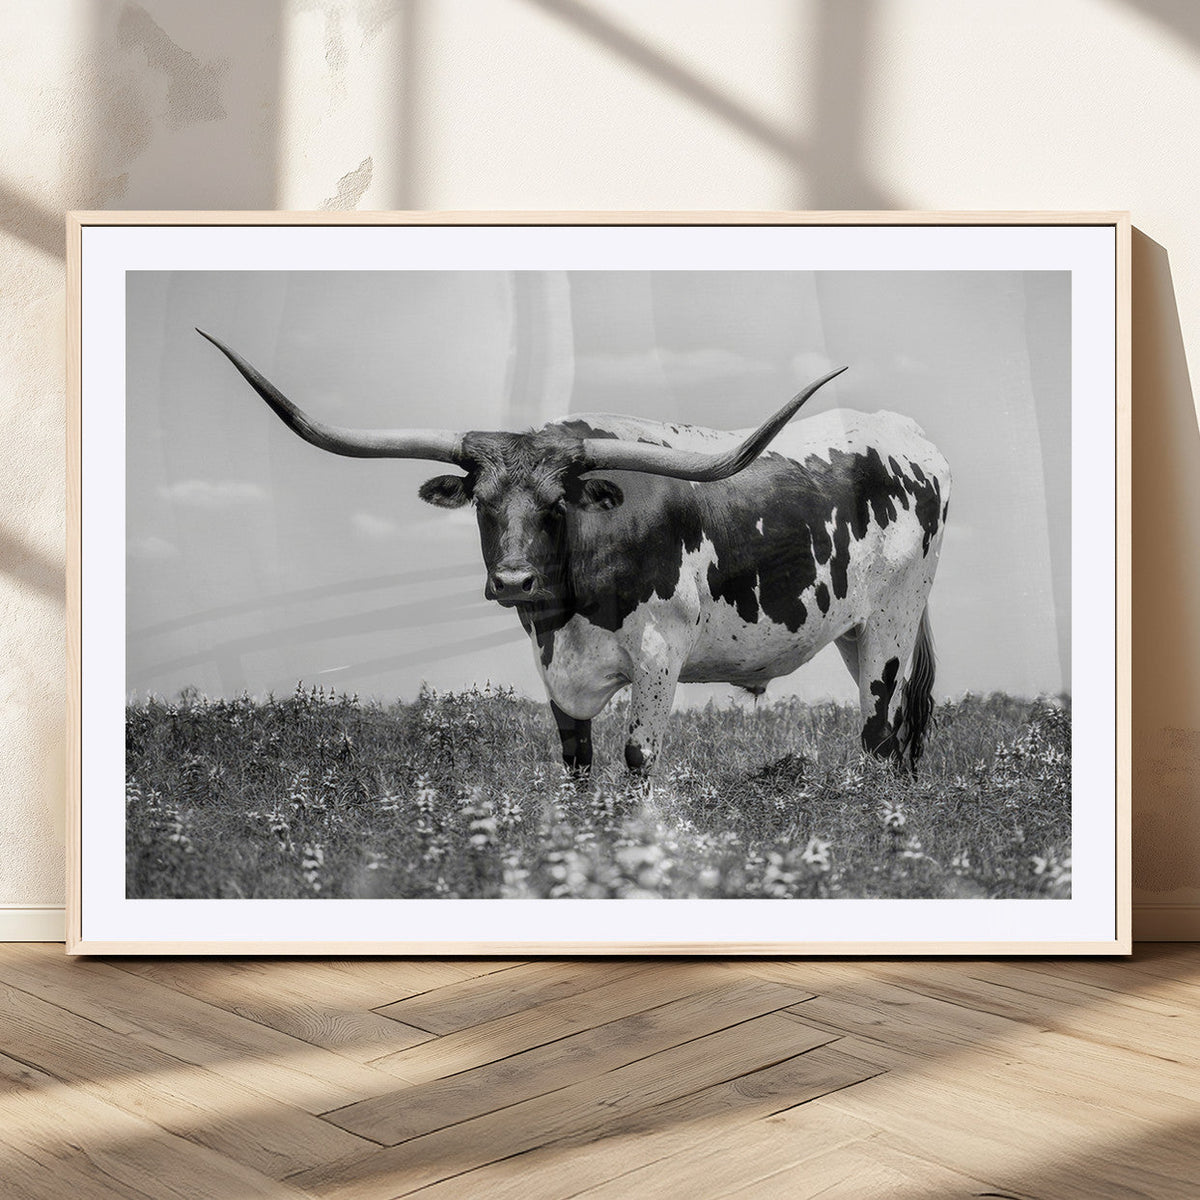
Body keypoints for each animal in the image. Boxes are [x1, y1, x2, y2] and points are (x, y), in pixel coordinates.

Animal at [198, 329, 950, 776]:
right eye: (482, 503)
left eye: (556, 505)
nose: (512, 580)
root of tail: (910, 437)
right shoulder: (554, 667)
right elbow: (577, 764)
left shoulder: (659, 657)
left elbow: (638, 760)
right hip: (853, 631)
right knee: (891, 738)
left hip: (891, 626)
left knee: (878, 735)